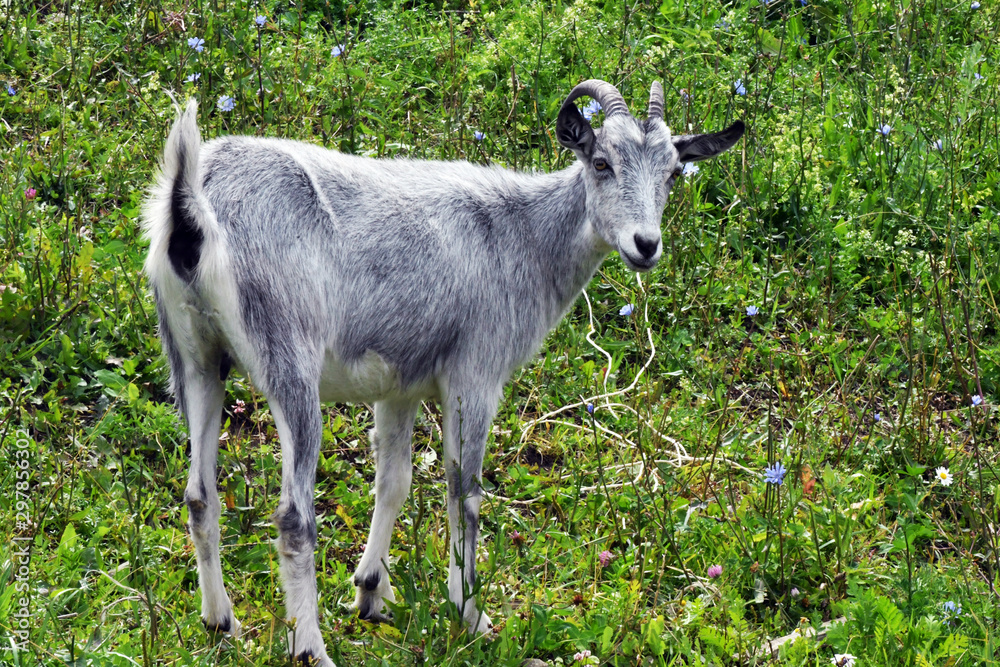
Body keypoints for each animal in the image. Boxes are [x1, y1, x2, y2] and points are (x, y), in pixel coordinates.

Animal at [143, 79, 743, 665]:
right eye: (601, 162)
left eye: (673, 172)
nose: (646, 245)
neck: (520, 235)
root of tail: (193, 198)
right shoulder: (474, 377)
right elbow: (465, 495)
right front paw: (470, 615)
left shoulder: (399, 386)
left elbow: (394, 482)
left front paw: (371, 591)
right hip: (289, 360)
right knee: (293, 515)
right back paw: (310, 648)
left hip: (196, 358)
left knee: (199, 494)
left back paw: (220, 622)